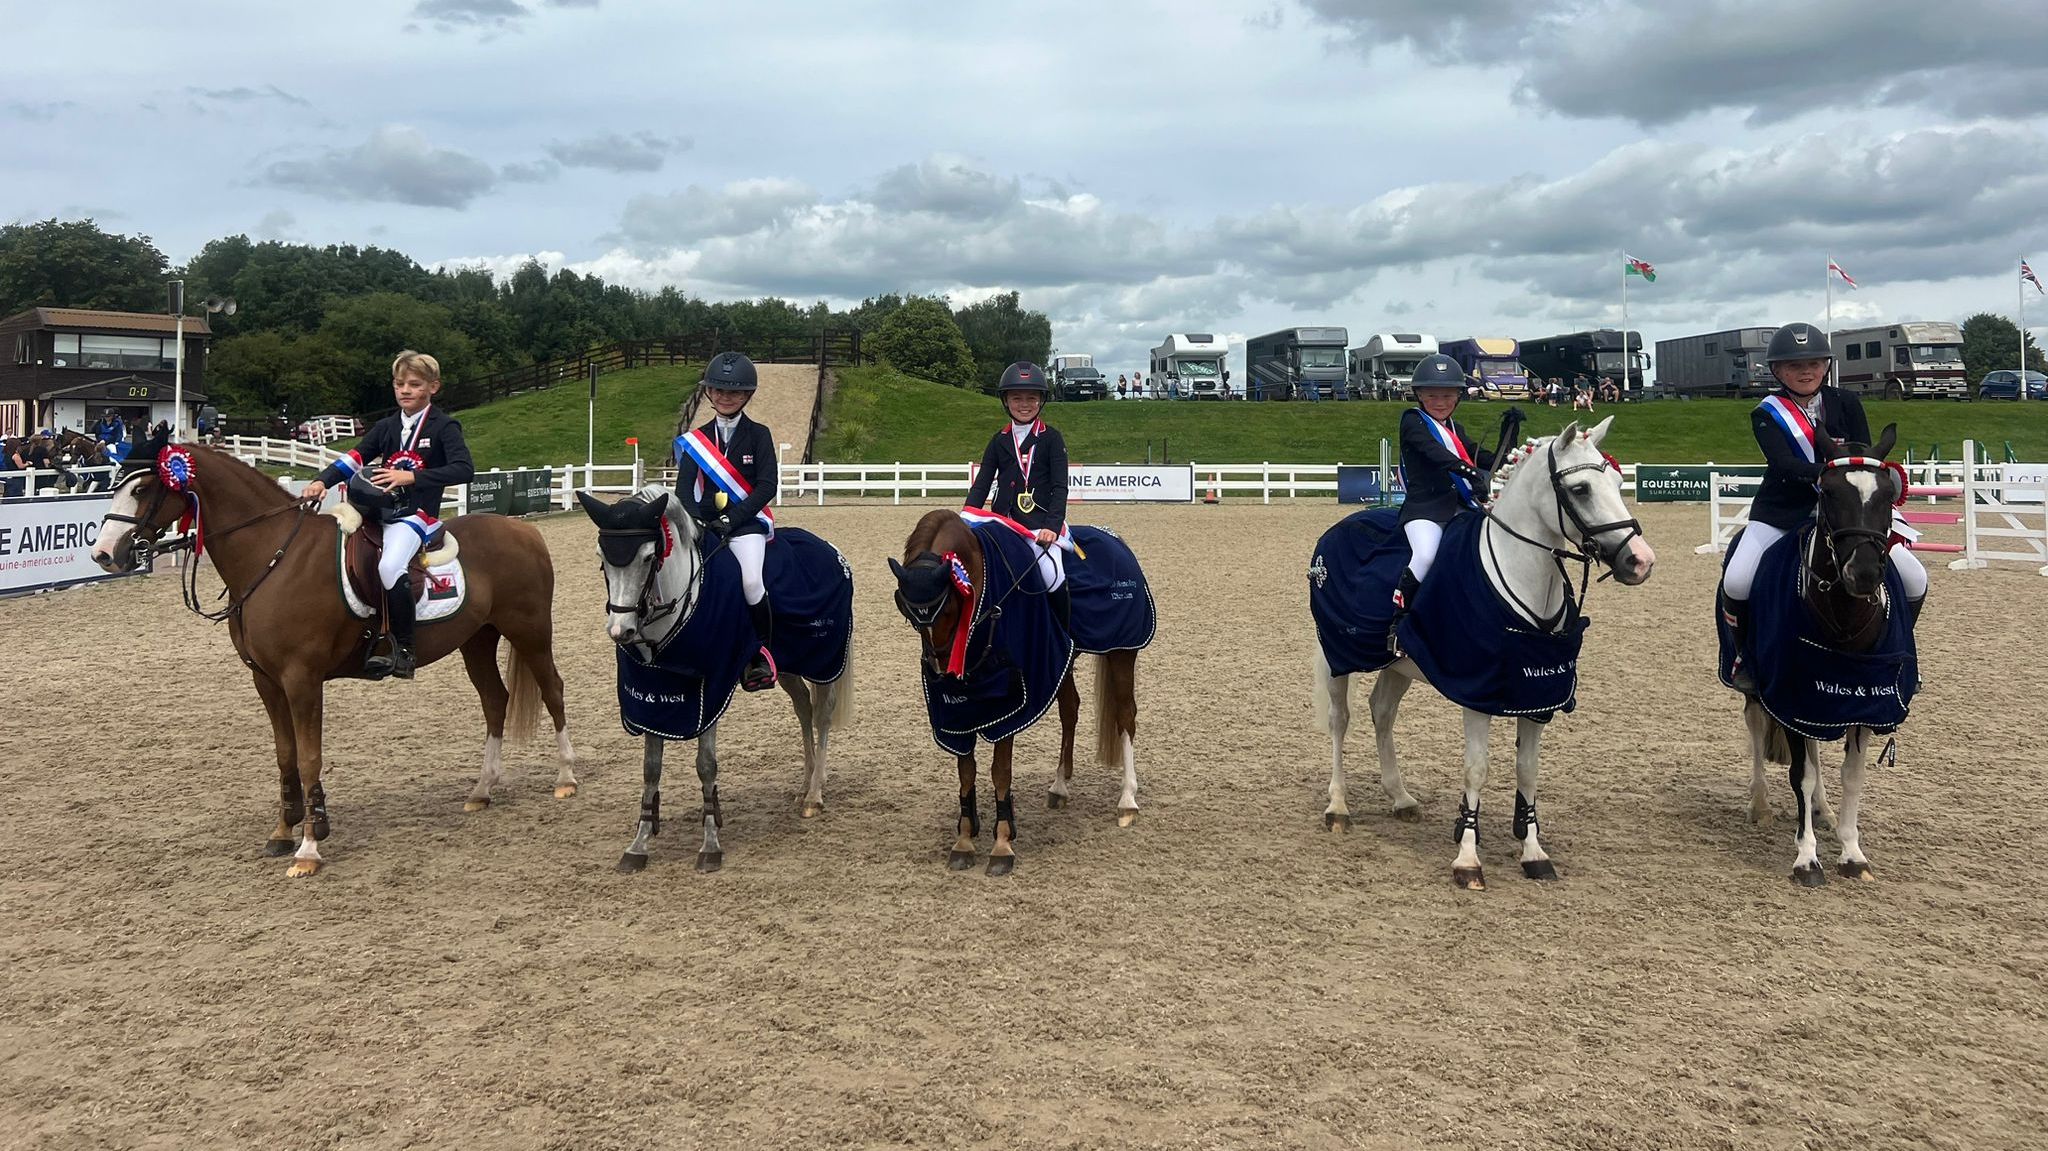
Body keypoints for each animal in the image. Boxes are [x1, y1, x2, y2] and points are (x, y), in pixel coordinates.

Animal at [92, 434, 581, 872]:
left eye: (141, 489)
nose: (103, 554)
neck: (273, 557)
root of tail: (523, 528)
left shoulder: (301, 679)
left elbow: (310, 757)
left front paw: (309, 848)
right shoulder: (266, 681)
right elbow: (285, 755)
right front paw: (283, 832)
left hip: (530, 632)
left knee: (553, 691)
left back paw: (565, 779)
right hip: (477, 640)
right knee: (495, 701)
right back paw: (482, 790)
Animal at [577, 481, 856, 868]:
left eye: (648, 557)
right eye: (602, 559)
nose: (621, 630)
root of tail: (830, 550)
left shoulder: (710, 689)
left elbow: (706, 765)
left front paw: (710, 845)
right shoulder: (653, 694)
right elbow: (651, 768)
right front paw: (639, 844)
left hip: (824, 660)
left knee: (822, 716)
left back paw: (815, 794)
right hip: (788, 663)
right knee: (804, 709)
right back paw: (806, 783)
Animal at [888, 505, 1146, 872]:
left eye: (949, 607)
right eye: (909, 613)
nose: (943, 673)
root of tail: (1115, 539)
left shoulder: (1010, 699)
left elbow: (1000, 771)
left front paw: (1001, 844)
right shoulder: (960, 708)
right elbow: (965, 771)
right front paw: (964, 839)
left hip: (1122, 651)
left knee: (1125, 717)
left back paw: (1127, 800)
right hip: (1063, 657)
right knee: (1070, 709)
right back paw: (1059, 786)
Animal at [1310, 419, 1662, 888]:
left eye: (1621, 484)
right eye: (1582, 489)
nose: (1640, 561)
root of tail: (1340, 527)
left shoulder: (1537, 697)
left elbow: (1528, 771)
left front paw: (1533, 852)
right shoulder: (1476, 695)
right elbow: (1476, 769)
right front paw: (1467, 859)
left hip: (1399, 664)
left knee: (1382, 712)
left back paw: (1400, 797)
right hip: (1338, 656)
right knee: (1340, 719)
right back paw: (1338, 807)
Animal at [1736, 421, 1908, 876]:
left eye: (1888, 494)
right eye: (1827, 492)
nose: (1863, 573)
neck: (1843, 616)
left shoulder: (1863, 701)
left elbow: (1851, 774)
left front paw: (1851, 851)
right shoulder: (1790, 694)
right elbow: (1801, 774)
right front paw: (1807, 858)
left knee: (1814, 749)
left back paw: (1824, 810)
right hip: (1758, 688)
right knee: (1757, 728)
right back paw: (1760, 805)